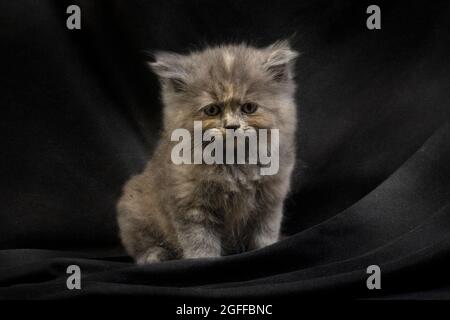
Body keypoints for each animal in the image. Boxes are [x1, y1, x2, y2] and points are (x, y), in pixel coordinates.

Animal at [116, 40, 298, 264]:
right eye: (212, 110)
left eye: (249, 108)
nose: (232, 126)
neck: (234, 164)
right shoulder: (191, 205)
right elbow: (200, 242)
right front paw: (202, 262)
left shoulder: (270, 201)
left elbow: (265, 235)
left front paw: (267, 250)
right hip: (134, 208)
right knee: (141, 244)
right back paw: (156, 255)